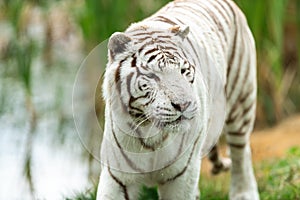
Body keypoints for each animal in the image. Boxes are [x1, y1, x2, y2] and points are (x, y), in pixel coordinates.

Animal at [97, 0, 258, 200]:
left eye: (182, 71)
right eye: (152, 75)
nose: (183, 105)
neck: (151, 135)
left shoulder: (181, 174)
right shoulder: (118, 176)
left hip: (241, 98)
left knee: (240, 150)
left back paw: (244, 193)